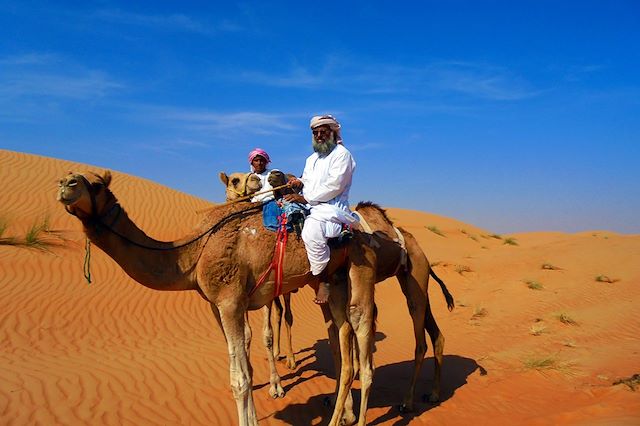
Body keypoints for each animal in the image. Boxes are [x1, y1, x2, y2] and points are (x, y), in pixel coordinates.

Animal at [57, 171, 452, 426]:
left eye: (95, 184)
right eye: (72, 179)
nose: (65, 184)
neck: (192, 253)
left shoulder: (231, 300)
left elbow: (239, 379)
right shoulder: (216, 305)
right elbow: (243, 369)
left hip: (367, 272)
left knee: (367, 336)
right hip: (335, 281)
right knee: (347, 342)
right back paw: (347, 413)